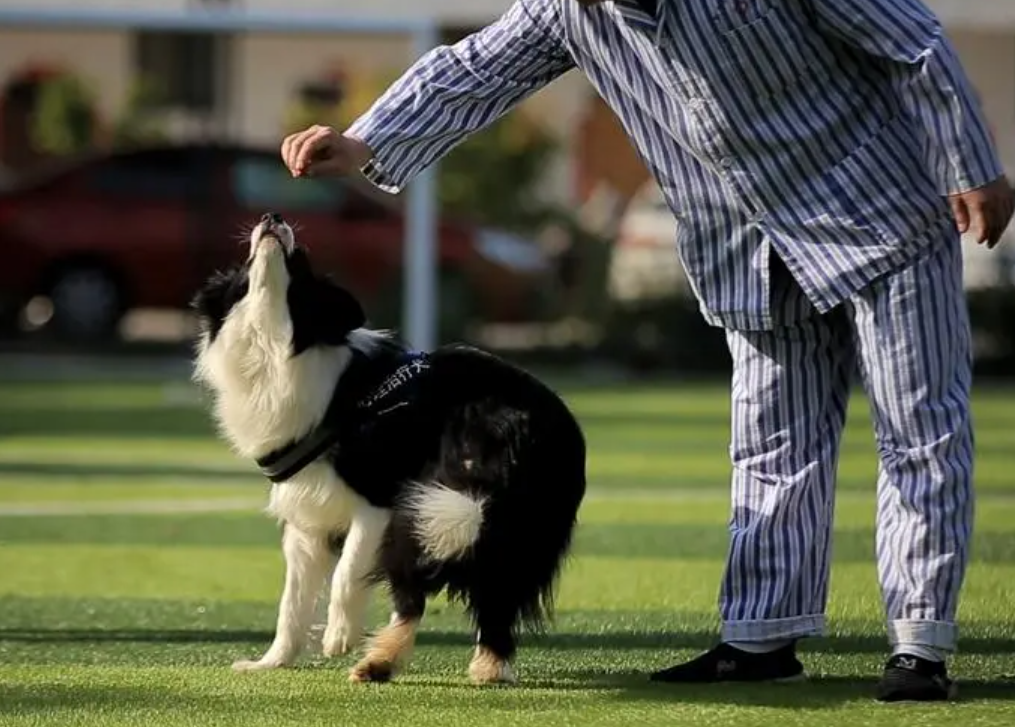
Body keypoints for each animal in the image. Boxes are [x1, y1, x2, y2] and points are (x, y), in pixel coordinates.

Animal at [191, 213, 588, 686]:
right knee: (492, 592)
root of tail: (529, 428)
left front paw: (338, 637)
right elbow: (292, 600)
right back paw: (481, 667)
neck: (277, 345)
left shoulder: (376, 501)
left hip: (435, 506)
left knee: (417, 593)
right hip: (501, 521)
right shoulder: (307, 517)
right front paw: (272, 662)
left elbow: (346, 572)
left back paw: (378, 661)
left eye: (301, 263)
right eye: (243, 269)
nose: (274, 217)